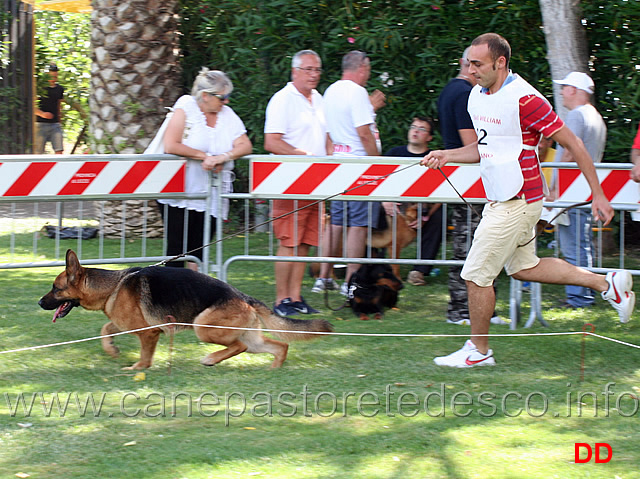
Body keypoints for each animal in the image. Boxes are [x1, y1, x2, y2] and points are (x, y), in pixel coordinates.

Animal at [38, 251, 336, 372]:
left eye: (55, 288)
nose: (40, 303)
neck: (113, 286)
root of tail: (243, 296)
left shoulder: (149, 332)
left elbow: (144, 356)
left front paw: (137, 368)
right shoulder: (124, 322)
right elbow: (106, 329)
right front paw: (111, 349)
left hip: (203, 327)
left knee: (238, 346)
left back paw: (211, 359)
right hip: (251, 337)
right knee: (278, 346)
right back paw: (274, 368)